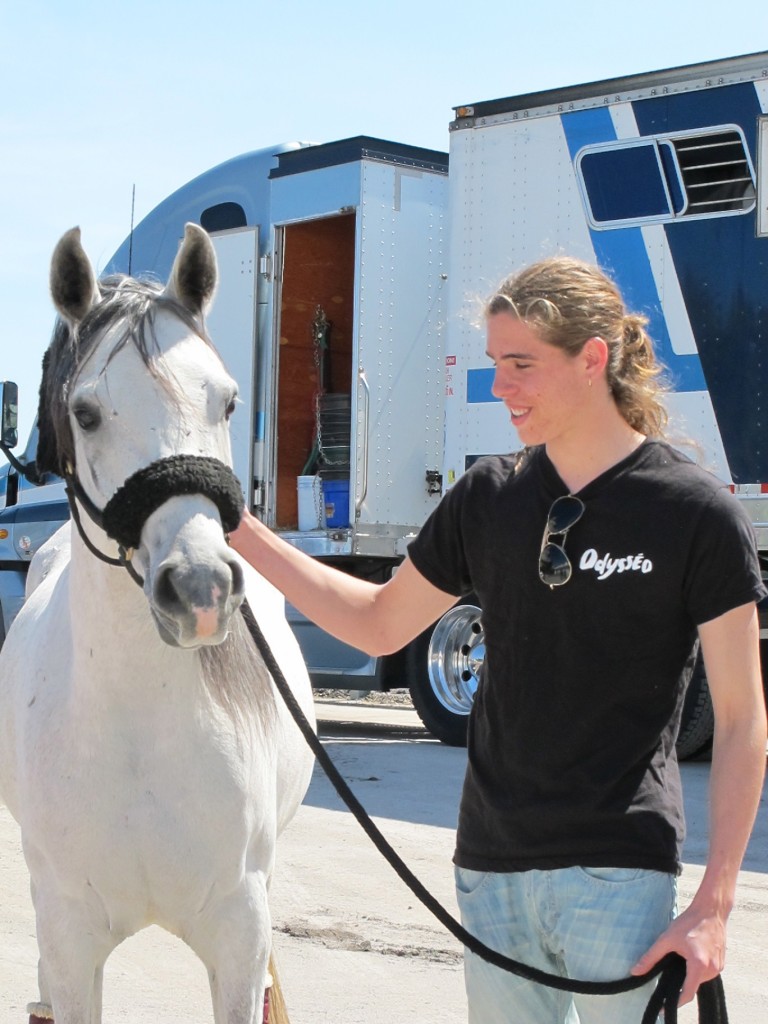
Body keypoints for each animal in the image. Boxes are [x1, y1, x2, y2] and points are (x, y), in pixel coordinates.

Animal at [0, 226, 317, 1024]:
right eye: (86, 413)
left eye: (229, 401)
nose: (201, 587)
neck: (140, 730)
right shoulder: (71, 940)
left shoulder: (238, 936)